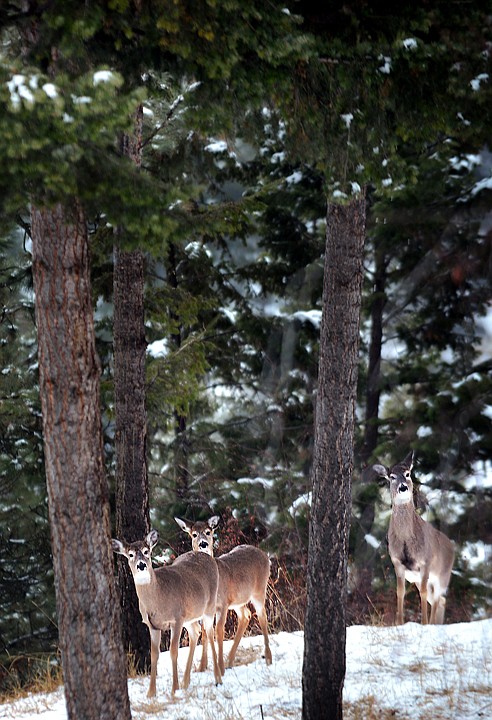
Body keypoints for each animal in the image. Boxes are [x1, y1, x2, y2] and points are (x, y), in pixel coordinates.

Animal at [112, 528, 222, 696]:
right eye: (130, 554)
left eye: (147, 551)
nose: (141, 565)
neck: (158, 599)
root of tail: (206, 556)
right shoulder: (153, 625)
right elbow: (154, 655)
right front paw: (151, 693)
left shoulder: (176, 619)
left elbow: (173, 651)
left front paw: (174, 689)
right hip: (189, 616)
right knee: (196, 631)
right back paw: (186, 682)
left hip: (208, 606)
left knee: (210, 634)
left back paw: (218, 679)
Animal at [174, 512, 272, 676]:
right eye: (194, 534)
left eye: (208, 532)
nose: (203, 544)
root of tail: (264, 554)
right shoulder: (208, 608)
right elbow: (205, 633)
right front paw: (202, 667)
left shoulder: (223, 604)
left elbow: (219, 631)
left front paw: (219, 667)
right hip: (239, 600)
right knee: (246, 615)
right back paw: (230, 661)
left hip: (259, 589)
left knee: (262, 616)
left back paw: (268, 658)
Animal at [374, 450, 456, 624]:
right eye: (392, 477)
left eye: (408, 474)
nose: (403, 487)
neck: (406, 539)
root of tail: (452, 546)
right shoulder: (397, 563)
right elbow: (400, 592)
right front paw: (399, 623)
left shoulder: (425, 562)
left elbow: (422, 594)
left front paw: (423, 623)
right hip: (419, 578)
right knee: (439, 600)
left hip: (443, 575)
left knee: (437, 598)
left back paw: (431, 623)